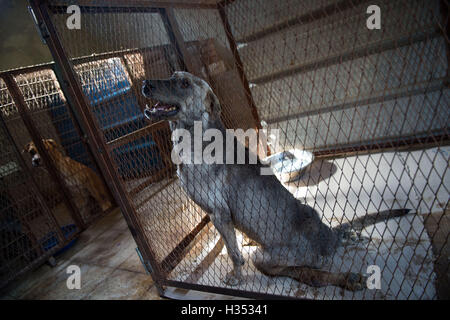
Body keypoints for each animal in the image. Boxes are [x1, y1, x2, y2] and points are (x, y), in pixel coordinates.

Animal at [142, 71, 410, 292]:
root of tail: (327, 238)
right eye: (172, 76)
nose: (145, 84)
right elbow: (228, 242)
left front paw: (236, 277)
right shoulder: (219, 216)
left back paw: (347, 278)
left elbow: (233, 253)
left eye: (184, 83)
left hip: (265, 256)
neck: (195, 137)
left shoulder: (219, 213)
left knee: (310, 275)